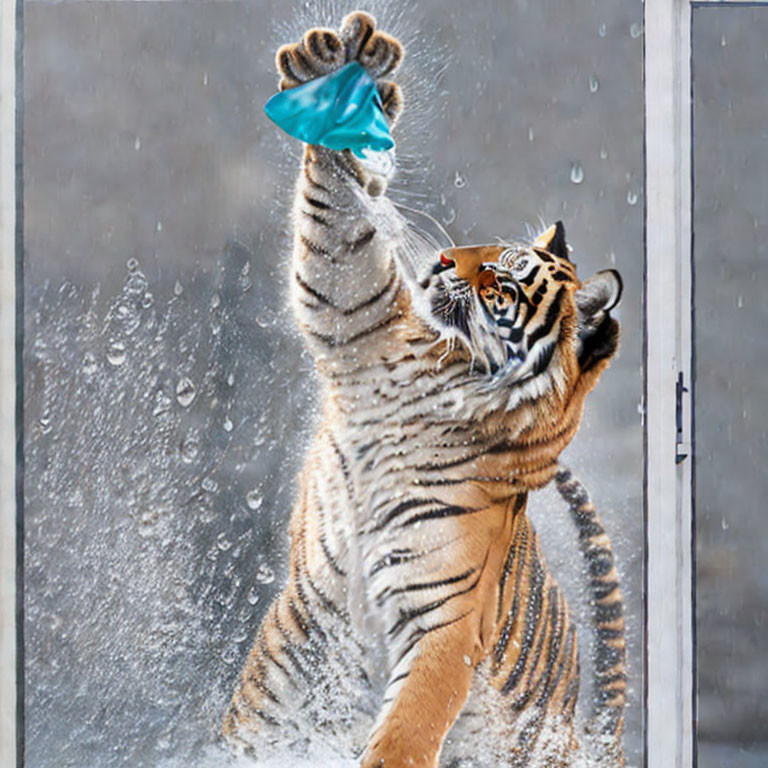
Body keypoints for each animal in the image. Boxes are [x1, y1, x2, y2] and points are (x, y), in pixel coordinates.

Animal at [220, 12, 624, 768]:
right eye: (484, 247)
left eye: (506, 275)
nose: (439, 259)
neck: (448, 378)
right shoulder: (359, 319)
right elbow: (340, 248)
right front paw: (343, 71)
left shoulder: (446, 618)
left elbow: (407, 729)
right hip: (280, 684)